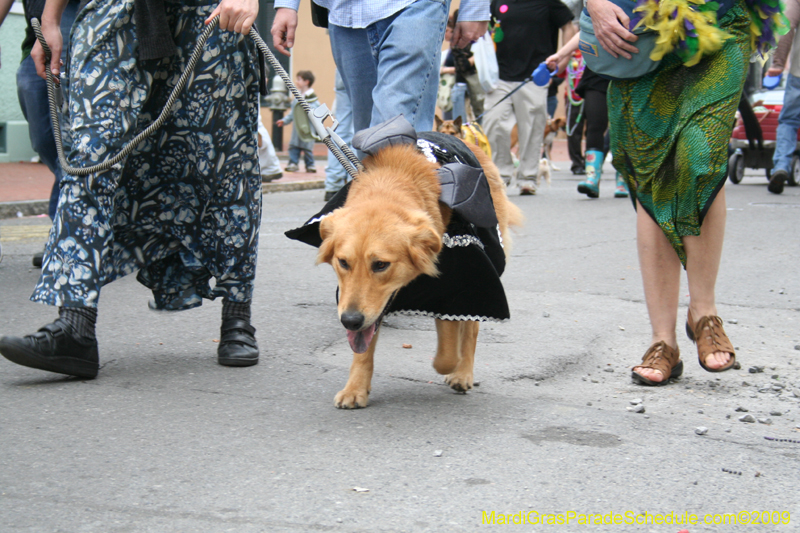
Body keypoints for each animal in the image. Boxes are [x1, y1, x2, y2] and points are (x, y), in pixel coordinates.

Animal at [316, 134, 520, 408]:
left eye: (381, 265)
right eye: (343, 262)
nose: (349, 320)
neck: (391, 182)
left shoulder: (454, 286)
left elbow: (446, 354)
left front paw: (452, 364)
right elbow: (363, 348)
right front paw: (355, 389)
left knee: (471, 328)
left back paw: (463, 373)